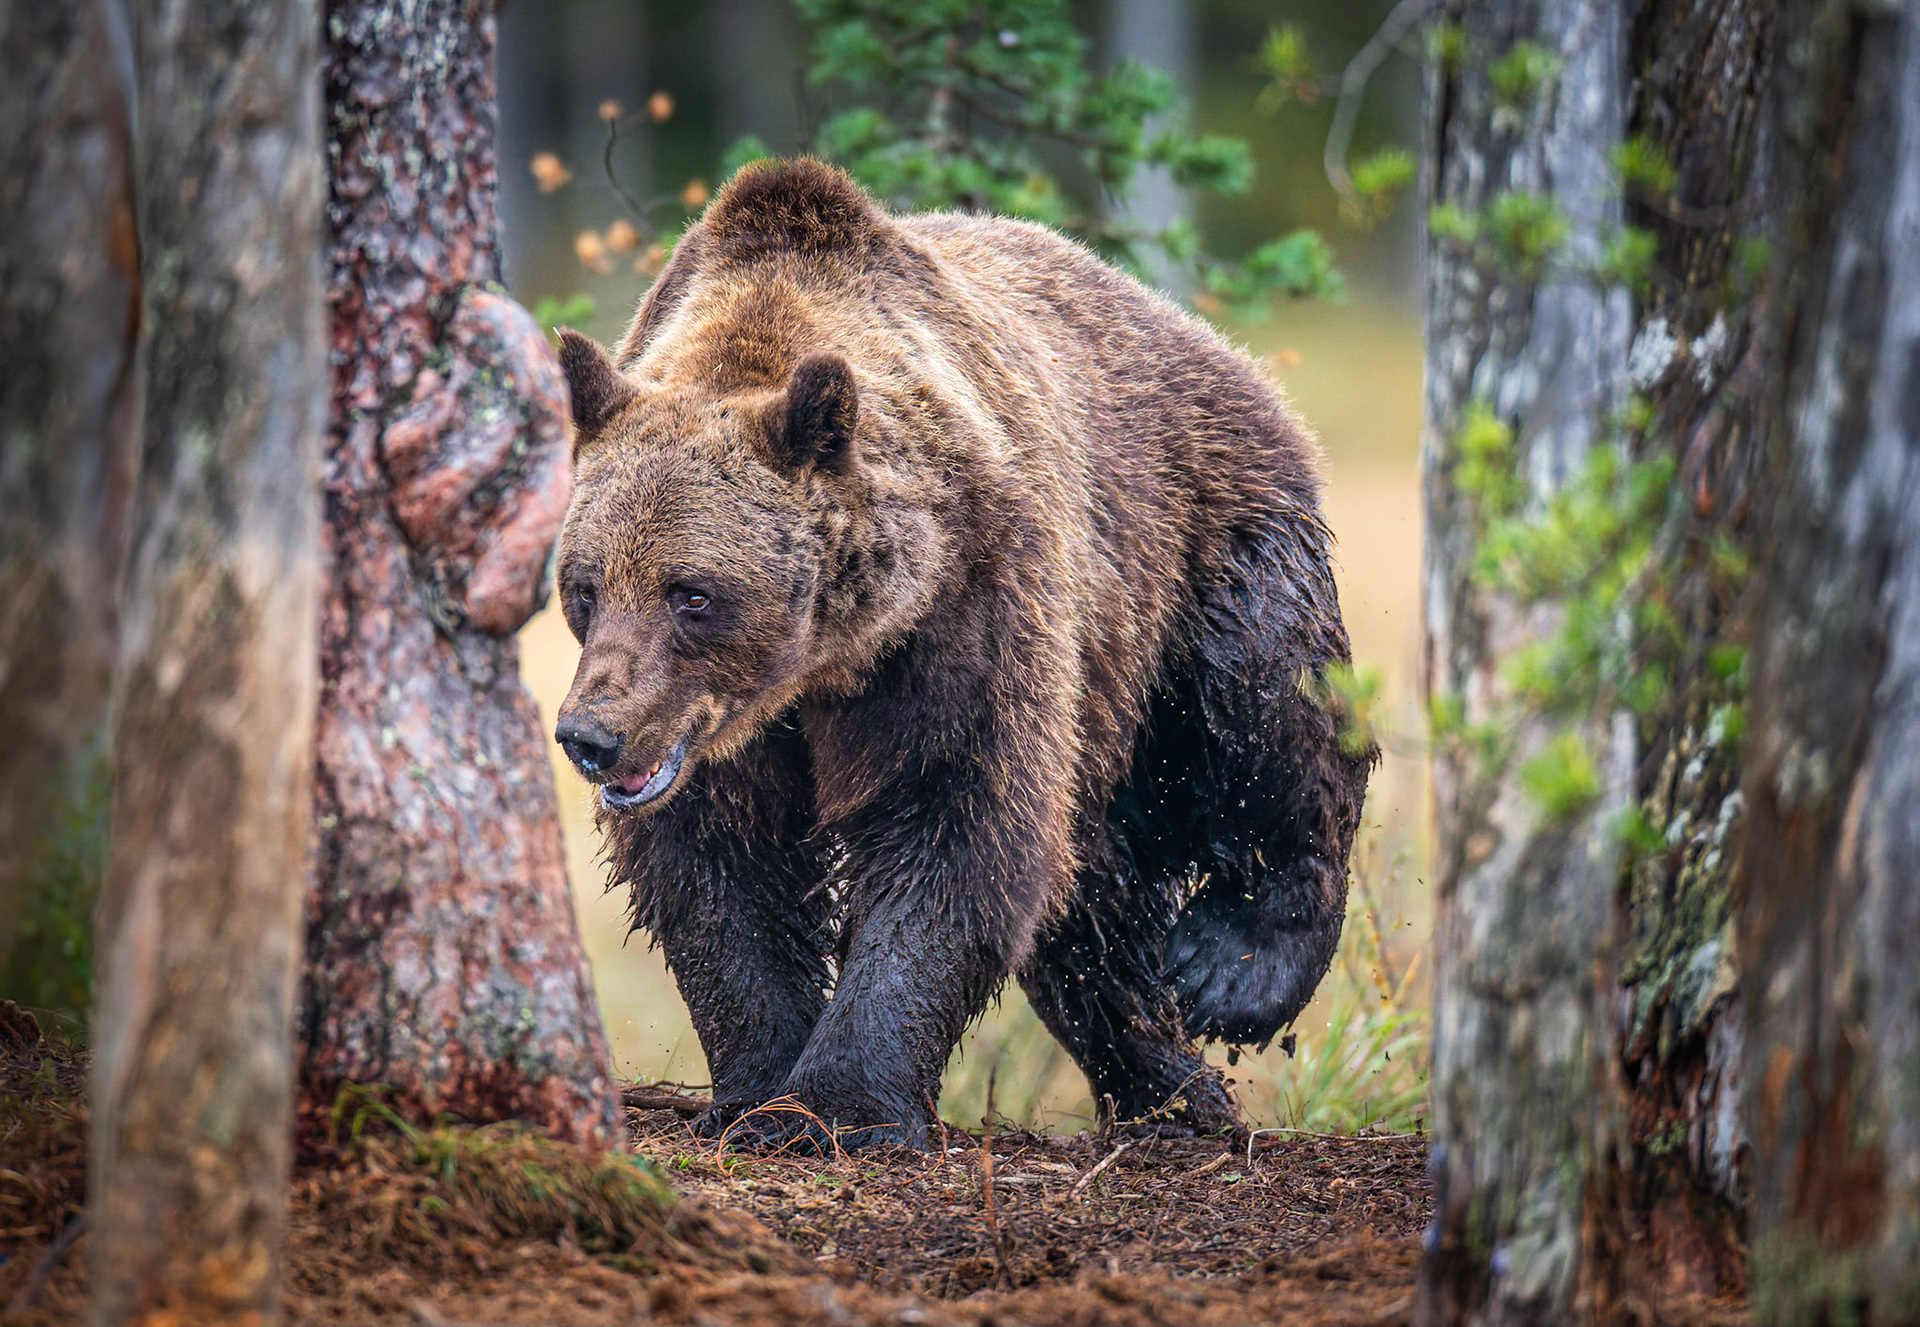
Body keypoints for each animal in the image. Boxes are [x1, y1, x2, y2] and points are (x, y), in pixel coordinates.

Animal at [551, 158, 1373, 1150]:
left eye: (692, 593)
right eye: (585, 585)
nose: (592, 735)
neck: (826, 661)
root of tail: (1206, 339)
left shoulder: (966, 611)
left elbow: (952, 818)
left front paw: (845, 1102)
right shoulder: (723, 731)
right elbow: (719, 867)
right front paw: (754, 1093)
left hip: (1195, 553)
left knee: (1265, 719)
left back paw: (1229, 971)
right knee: (1087, 896)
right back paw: (1170, 1084)